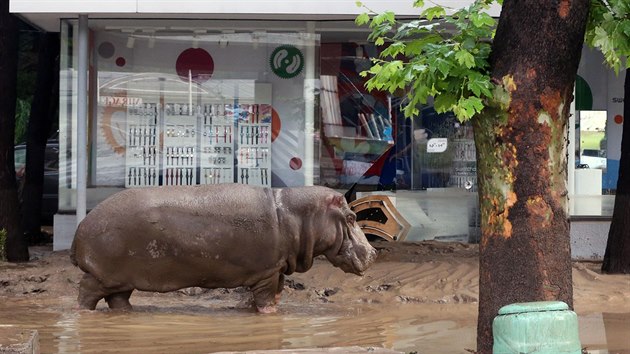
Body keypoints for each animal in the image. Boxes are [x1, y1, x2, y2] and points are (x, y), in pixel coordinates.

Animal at [70, 184, 376, 312]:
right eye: (352, 217)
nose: (373, 253)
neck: (295, 214)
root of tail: (82, 225)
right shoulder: (267, 273)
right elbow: (267, 301)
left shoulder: (275, 270)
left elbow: (273, 296)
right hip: (102, 276)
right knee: (85, 294)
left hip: (121, 279)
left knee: (118, 300)